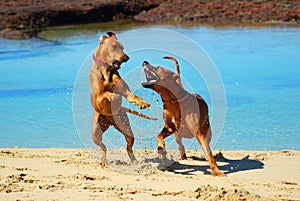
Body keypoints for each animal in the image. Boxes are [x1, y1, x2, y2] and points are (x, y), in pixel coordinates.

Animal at [89, 31, 156, 166]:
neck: (107, 70)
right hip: (96, 133)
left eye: (122, 47)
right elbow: (105, 94)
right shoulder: (97, 98)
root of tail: (110, 121)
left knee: (128, 148)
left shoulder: (126, 92)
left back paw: (134, 161)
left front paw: (142, 102)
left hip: (125, 128)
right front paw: (113, 95)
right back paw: (103, 161)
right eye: (114, 46)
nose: (126, 58)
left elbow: (133, 96)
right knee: (102, 146)